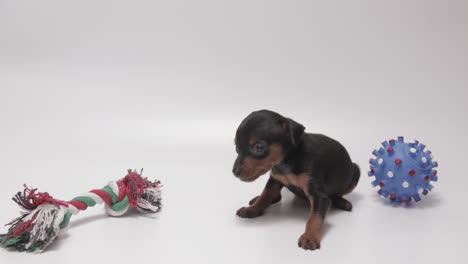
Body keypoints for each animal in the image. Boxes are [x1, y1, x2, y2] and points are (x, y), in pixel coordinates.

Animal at [232, 109, 360, 250]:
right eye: (236, 147)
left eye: (259, 147)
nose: (235, 172)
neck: (285, 162)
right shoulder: (275, 179)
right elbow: (265, 196)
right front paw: (252, 209)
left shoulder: (319, 196)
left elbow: (315, 217)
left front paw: (310, 237)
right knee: (276, 196)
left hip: (355, 171)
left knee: (335, 195)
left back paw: (342, 202)